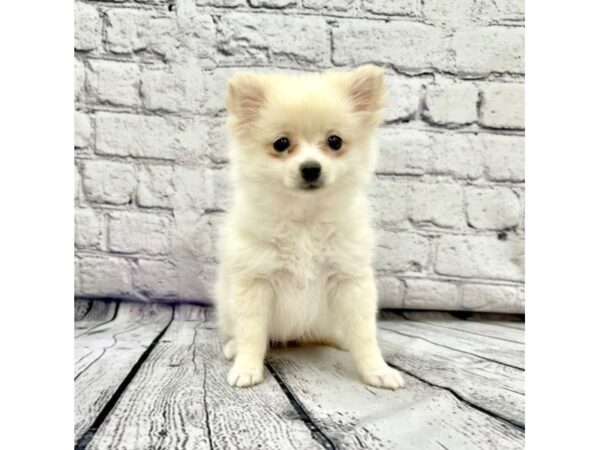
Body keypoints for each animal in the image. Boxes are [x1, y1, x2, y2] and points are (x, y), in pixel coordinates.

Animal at [213, 64, 406, 390]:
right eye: (281, 144)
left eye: (335, 141)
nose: (311, 168)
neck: (304, 220)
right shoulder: (254, 280)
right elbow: (252, 332)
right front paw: (247, 368)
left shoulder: (351, 280)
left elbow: (364, 333)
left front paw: (376, 370)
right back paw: (232, 347)